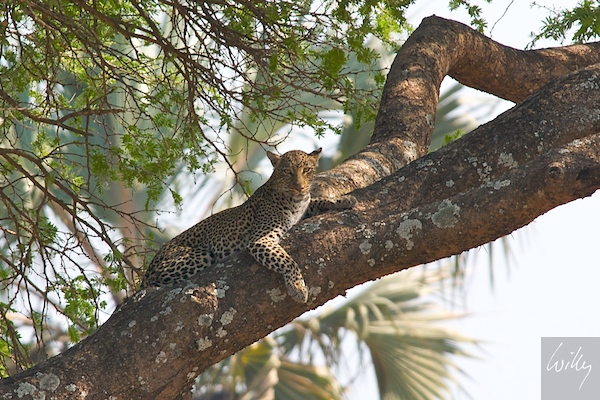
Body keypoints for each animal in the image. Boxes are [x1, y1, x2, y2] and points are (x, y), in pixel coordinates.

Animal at [139, 148, 355, 303]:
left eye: (307, 170)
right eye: (287, 172)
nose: (300, 186)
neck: (295, 200)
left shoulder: (303, 209)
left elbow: (317, 201)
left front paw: (344, 200)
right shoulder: (260, 239)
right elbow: (288, 261)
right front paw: (298, 288)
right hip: (197, 256)